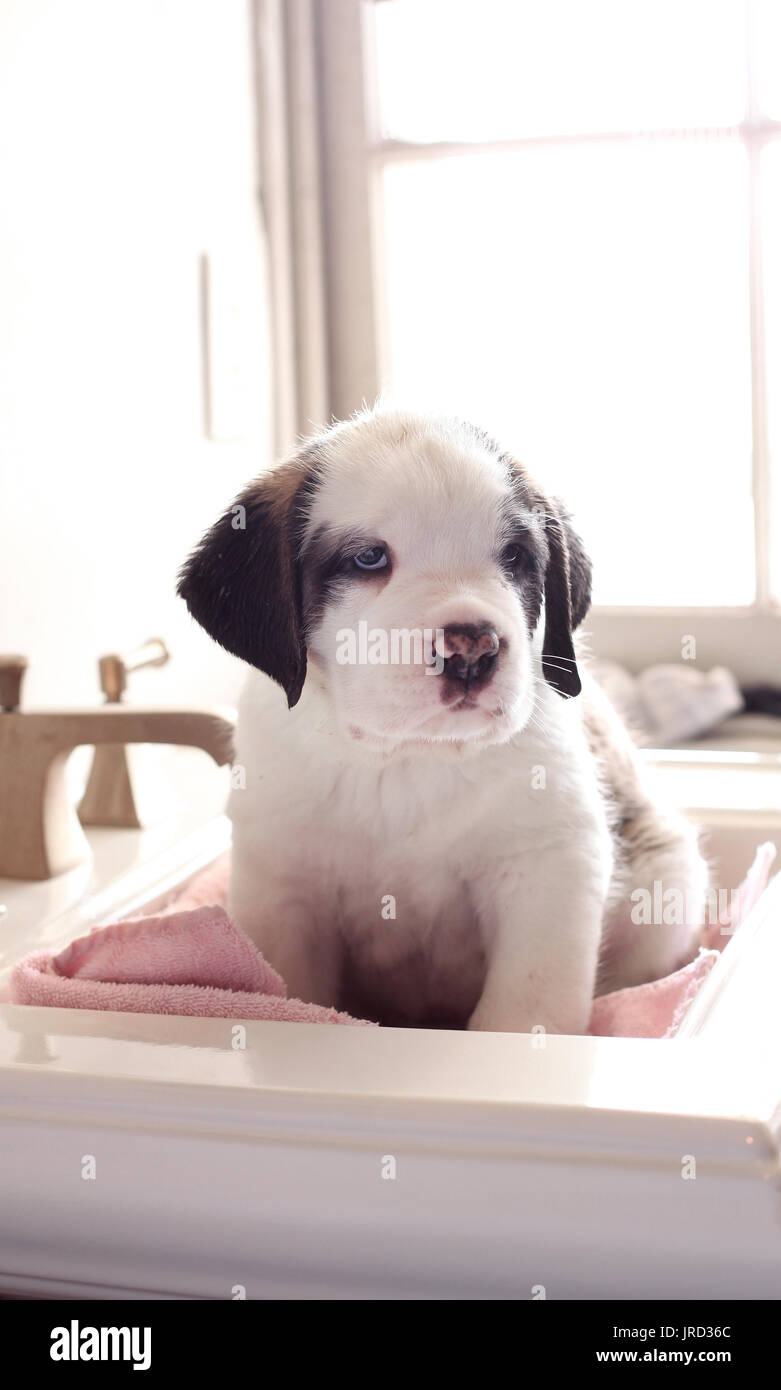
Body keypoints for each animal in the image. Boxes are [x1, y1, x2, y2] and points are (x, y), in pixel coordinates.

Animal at [177, 405, 705, 1028]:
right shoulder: (282, 888)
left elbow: (525, 1008)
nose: (472, 649)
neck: (408, 758)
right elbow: (296, 993)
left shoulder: (548, 869)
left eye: (514, 557)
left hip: (669, 883)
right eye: (369, 558)